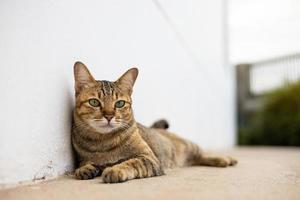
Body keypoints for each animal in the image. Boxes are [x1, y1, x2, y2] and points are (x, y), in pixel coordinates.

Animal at [71, 61, 237, 184]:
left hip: (188, 145)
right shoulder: (84, 158)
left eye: (119, 103)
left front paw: (115, 170)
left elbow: (131, 163)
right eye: (94, 102)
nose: (109, 116)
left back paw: (225, 159)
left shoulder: (149, 158)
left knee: (203, 154)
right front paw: (84, 169)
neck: (104, 142)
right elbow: (85, 164)